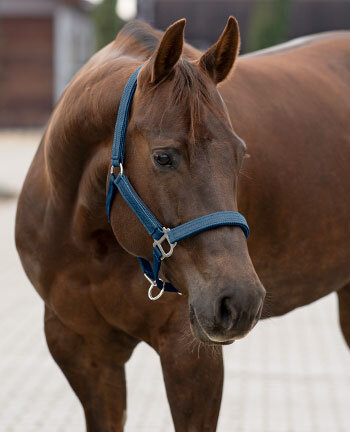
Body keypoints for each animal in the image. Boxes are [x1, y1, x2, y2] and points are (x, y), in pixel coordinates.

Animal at [16, 16, 350, 432]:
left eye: (240, 154)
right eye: (163, 157)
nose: (239, 300)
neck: (88, 240)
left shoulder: (189, 354)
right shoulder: (84, 350)